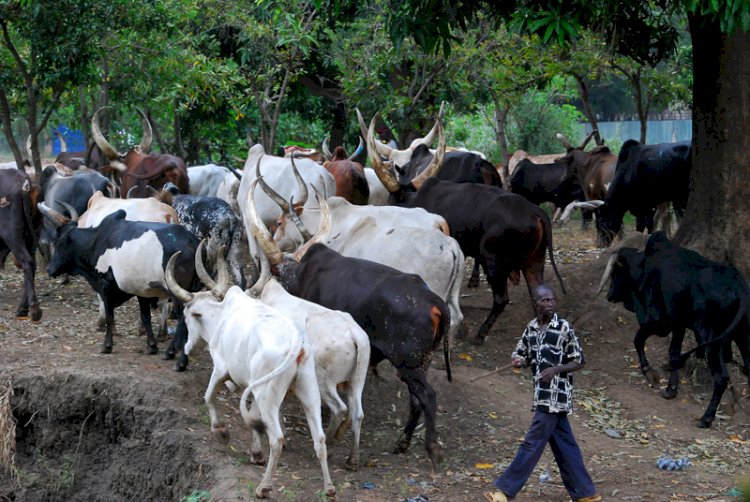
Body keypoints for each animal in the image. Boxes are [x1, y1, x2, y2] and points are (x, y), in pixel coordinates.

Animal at [0, 169, 41, 322]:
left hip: (12, 235)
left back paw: (33, 309)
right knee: (32, 265)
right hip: (32, 236)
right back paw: (23, 308)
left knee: (27, 262)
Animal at [36, 205, 201, 368]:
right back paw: (173, 353)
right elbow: (145, 317)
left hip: (177, 293)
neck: (96, 241)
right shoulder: (142, 291)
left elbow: (109, 316)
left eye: (56, 242)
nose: (50, 269)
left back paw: (178, 358)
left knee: (184, 321)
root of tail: (192, 241)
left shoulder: (105, 286)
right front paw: (151, 346)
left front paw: (107, 346)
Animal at [251, 186, 452, 468]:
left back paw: (432, 448)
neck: (301, 275)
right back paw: (401, 443)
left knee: (428, 397)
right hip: (419, 362)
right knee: (416, 401)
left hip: (408, 363)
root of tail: (434, 302)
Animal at [604, 232, 750, 428]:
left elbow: (638, 340)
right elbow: (673, 352)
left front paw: (649, 372)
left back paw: (706, 418)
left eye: (615, 273)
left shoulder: (658, 321)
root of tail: (740, 286)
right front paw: (671, 389)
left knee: (721, 378)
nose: (609, 295)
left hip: (710, 338)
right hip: (742, 336)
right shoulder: (678, 325)